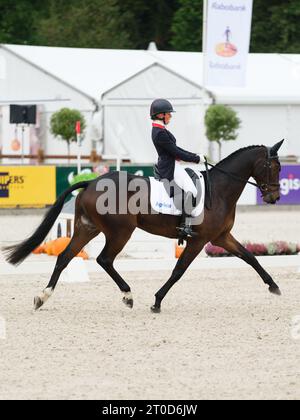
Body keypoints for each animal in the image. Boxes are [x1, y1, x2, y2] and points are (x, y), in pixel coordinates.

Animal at [2, 140, 284, 312]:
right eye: (273, 166)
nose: (274, 198)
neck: (221, 189)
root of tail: (91, 183)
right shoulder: (199, 239)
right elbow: (179, 270)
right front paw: (157, 301)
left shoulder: (221, 237)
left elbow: (250, 257)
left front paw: (274, 286)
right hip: (120, 232)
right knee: (104, 259)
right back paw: (127, 296)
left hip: (87, 228)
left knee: (64, 257)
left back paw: (42, 296)